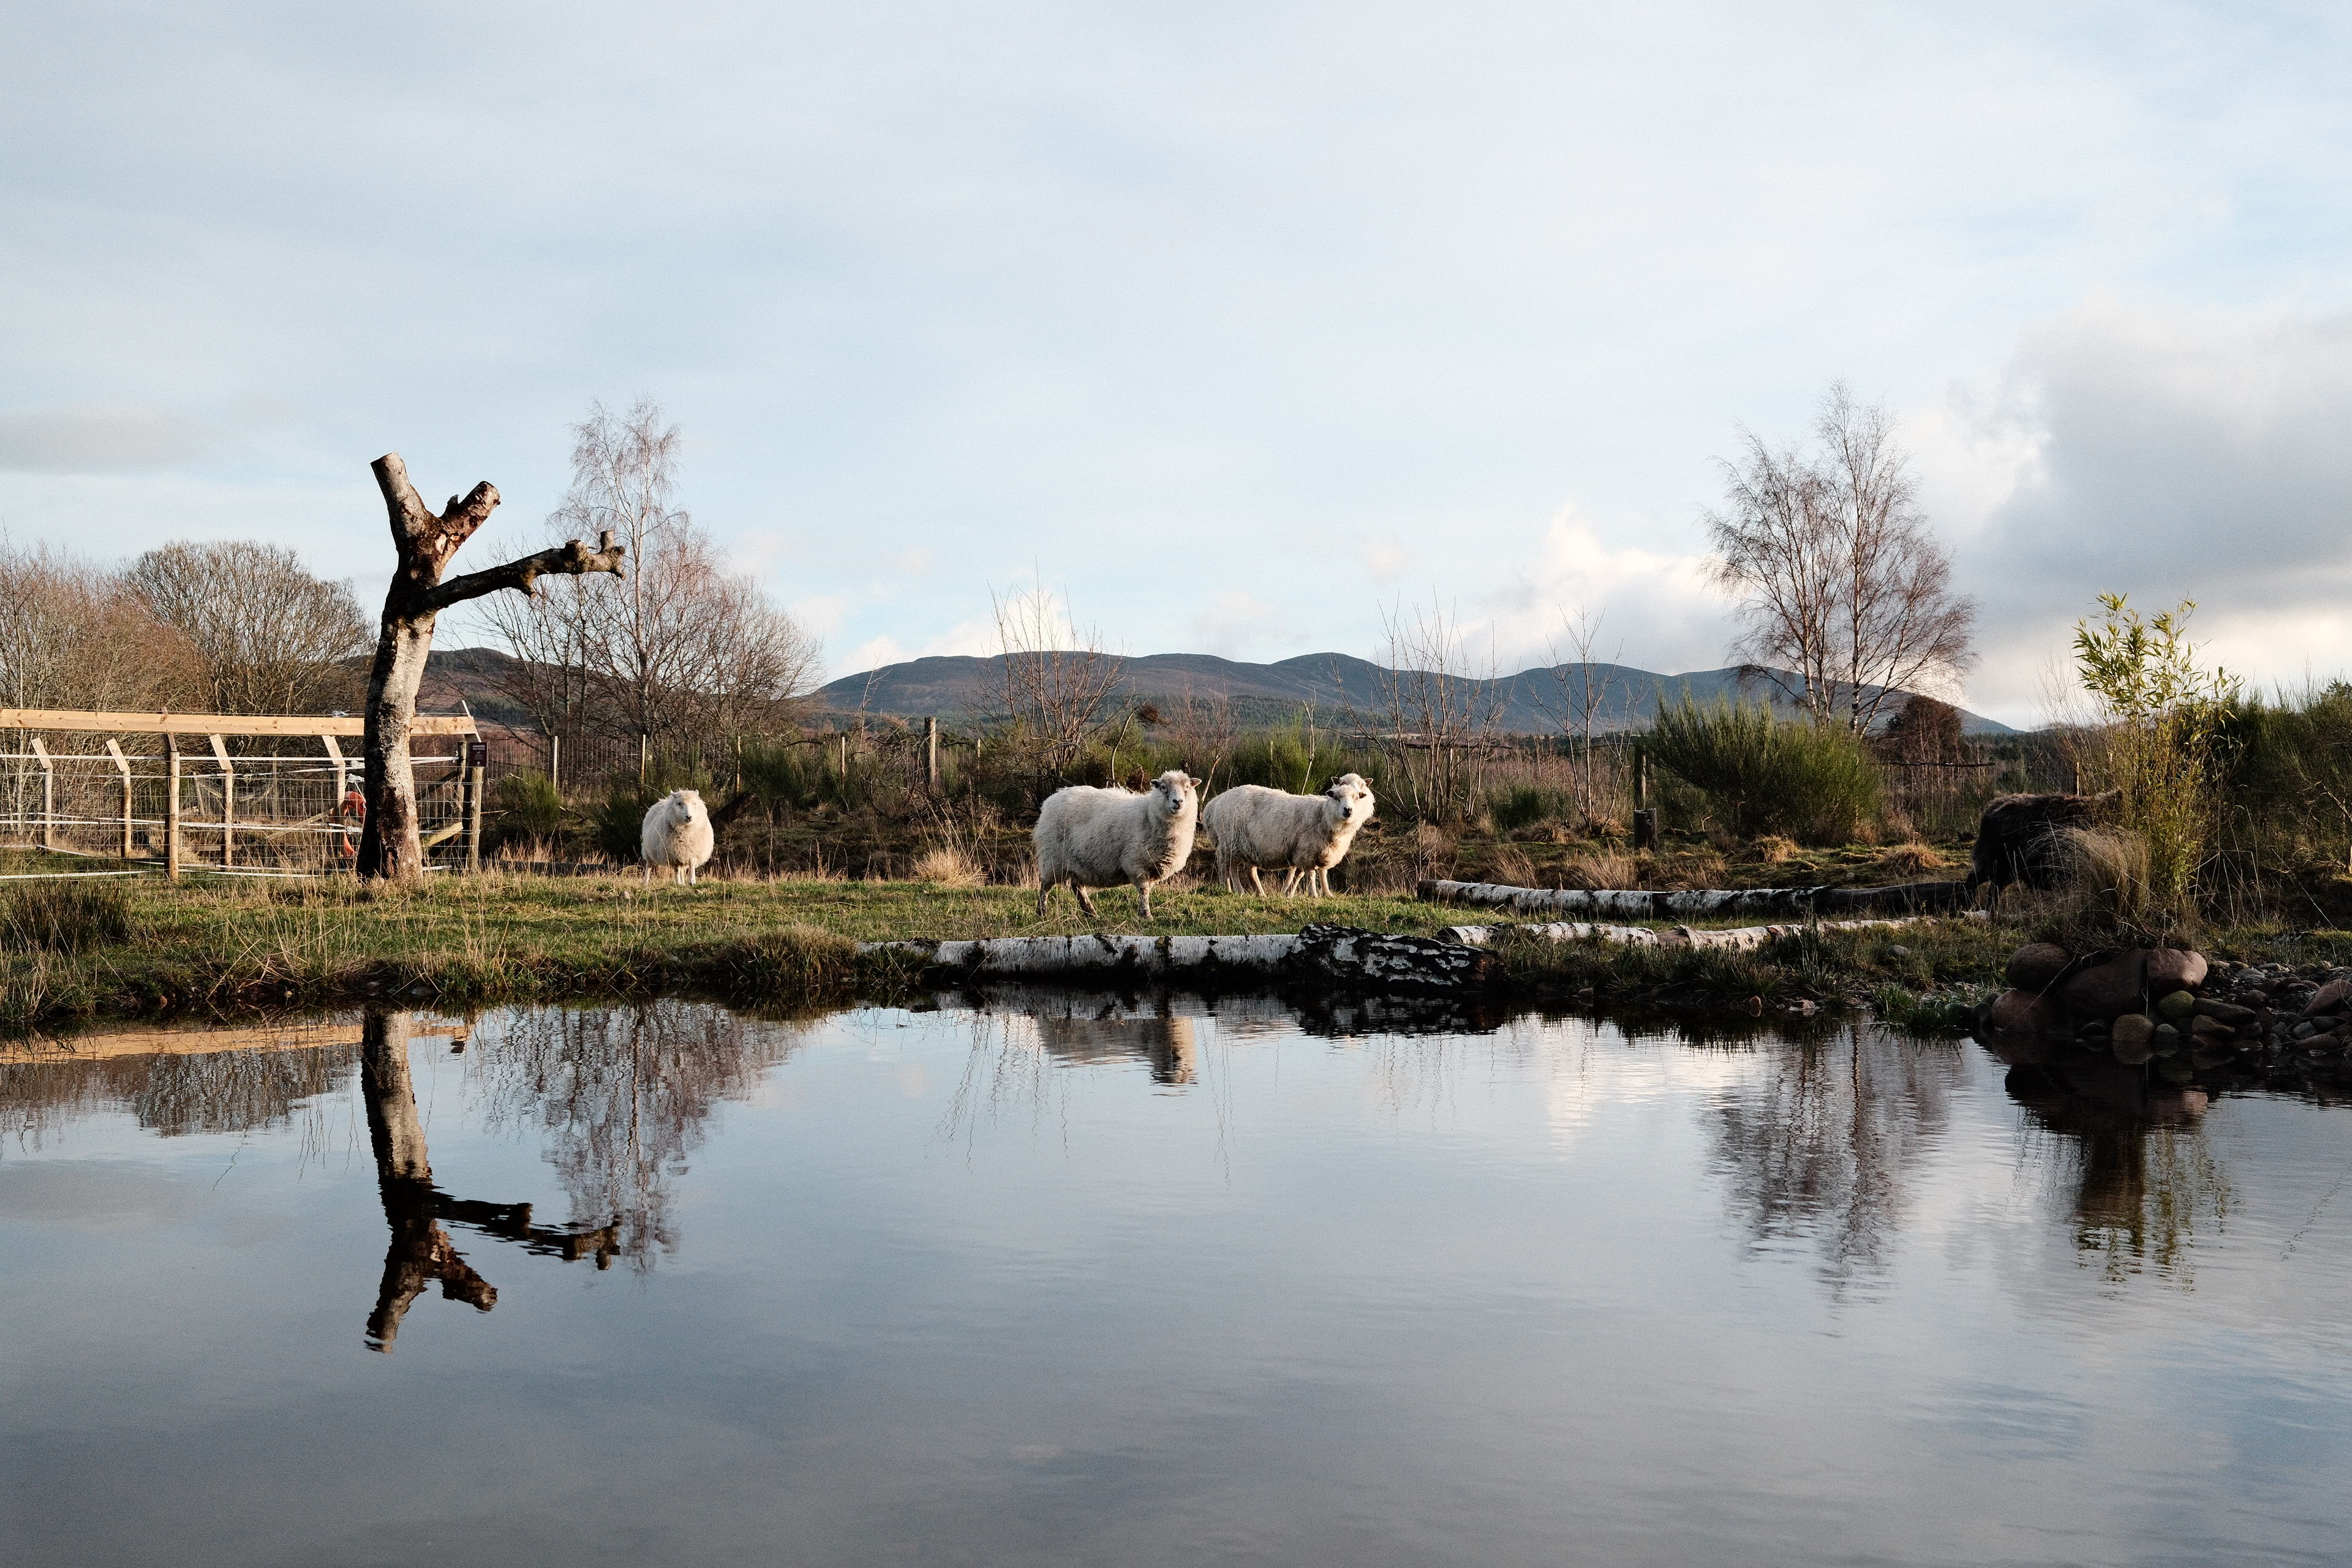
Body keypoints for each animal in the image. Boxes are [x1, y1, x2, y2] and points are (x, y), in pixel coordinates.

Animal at [640, 789, 715, 886]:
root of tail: (663, 800)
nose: (689, 817)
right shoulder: (673, 853)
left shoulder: (692, 851)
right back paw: (646, 882)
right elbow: (676, 869)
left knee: (682, 869)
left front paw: (692, 881)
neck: (686, 832)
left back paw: (683, 883)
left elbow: (691, 864)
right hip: (648, 850)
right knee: (649, 865)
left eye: (694, 804)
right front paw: (678, 883)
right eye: (679, 804)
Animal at [1033, 769, 1199, 920]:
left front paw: (1144, 913)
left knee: (1077, 887)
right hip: (1053, 857)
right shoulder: (1136, 863)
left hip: (1078, 862)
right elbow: (1144, 891)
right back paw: (1042, 912)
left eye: (1187, 787)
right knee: (1045, 886)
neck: (1148, 814)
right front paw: (1146, 916)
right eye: (1164, 787)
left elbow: (1147, 891)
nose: (1178, 802)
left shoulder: (1152, 867)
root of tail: (1052, 799)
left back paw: (1091, 913)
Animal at [1202, 773, 1375, 897]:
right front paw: (1313, 894)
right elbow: (1310, 874)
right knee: (1226, 866)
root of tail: (1214, 803)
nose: (1348, 810)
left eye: (1359, 793)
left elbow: (1318, 873)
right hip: (1229, 842)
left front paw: (1326, 894)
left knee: (1246, 870)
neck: (1323, 814)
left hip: (1247, 846)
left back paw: (1258, 893)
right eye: (1337, 796)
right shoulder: (1306, 852)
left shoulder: (1320, 852)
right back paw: (1230, 889)